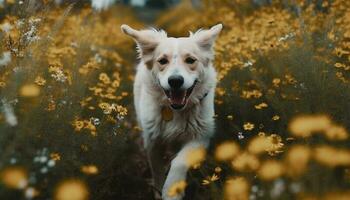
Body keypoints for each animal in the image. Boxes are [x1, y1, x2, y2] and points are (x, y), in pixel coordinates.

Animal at [121, 23, 223, 200]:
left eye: (190, 60)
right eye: (162, 61)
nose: (175, 81)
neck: (175, 111)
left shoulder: (201, 135)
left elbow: (179, 161)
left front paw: (172, 189)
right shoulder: (152, 141)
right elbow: (157, 171)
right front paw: (159, 190)